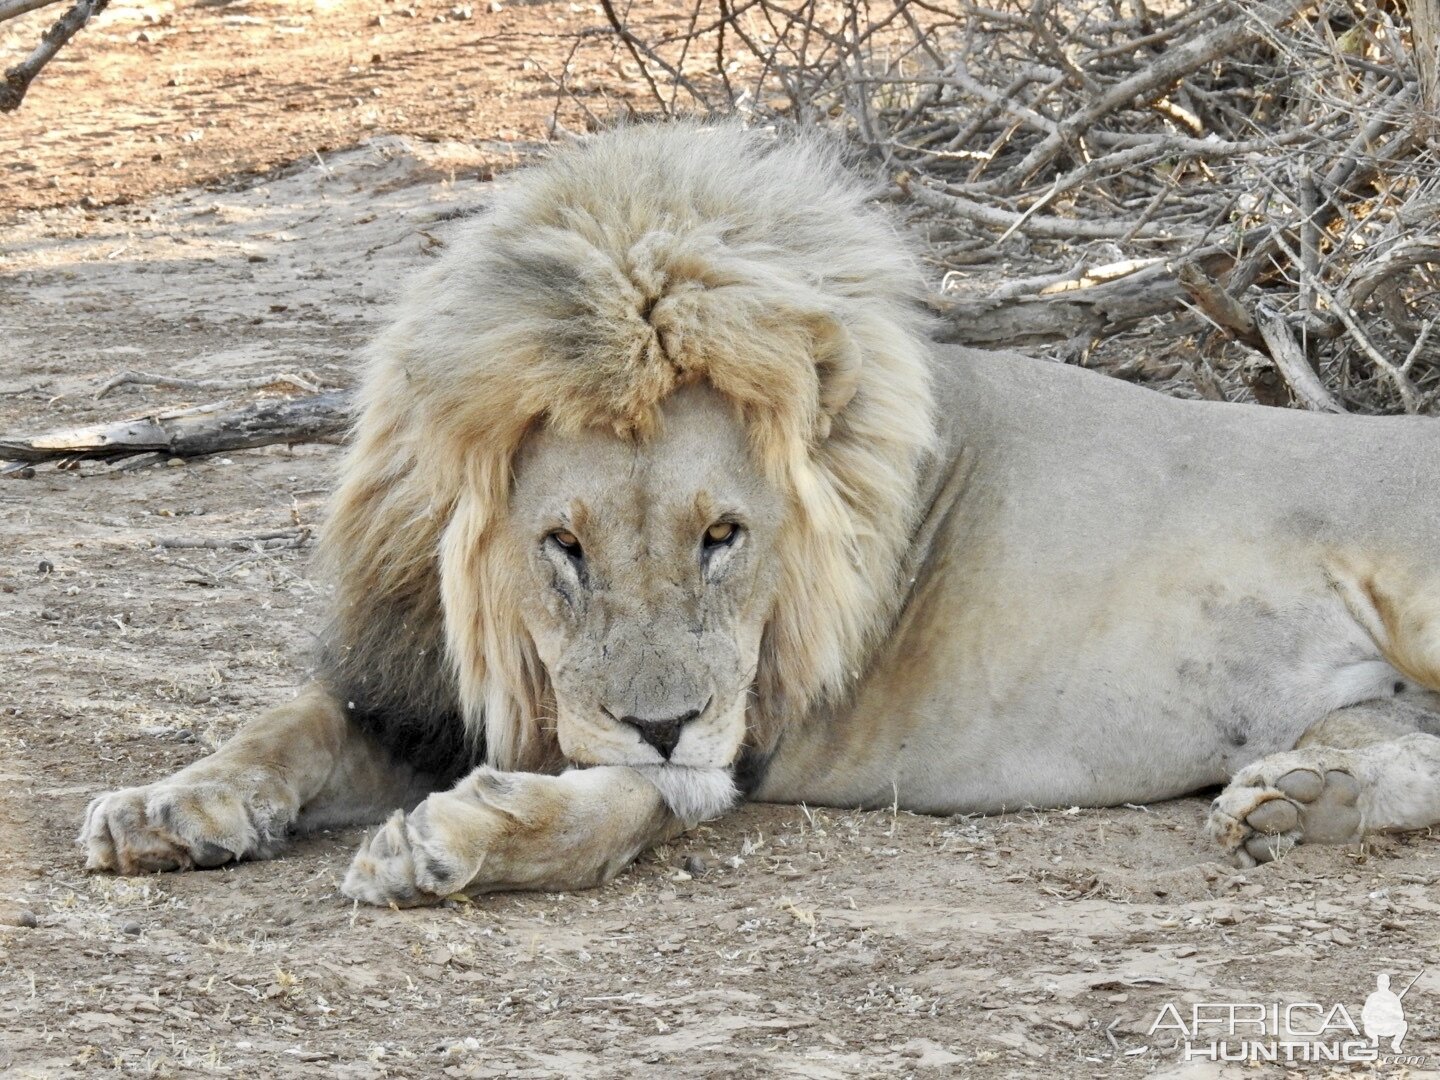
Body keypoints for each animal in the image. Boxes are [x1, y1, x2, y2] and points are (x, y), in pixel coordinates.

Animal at [75, 122, 1440, 904]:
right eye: (564, 547)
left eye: (722, 537)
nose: (664, 721)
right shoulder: (414, 682)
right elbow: (285, 725)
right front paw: (168, 808)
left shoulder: (746, 728)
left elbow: (628, 802)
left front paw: (455, 841)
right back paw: (1296, 802)